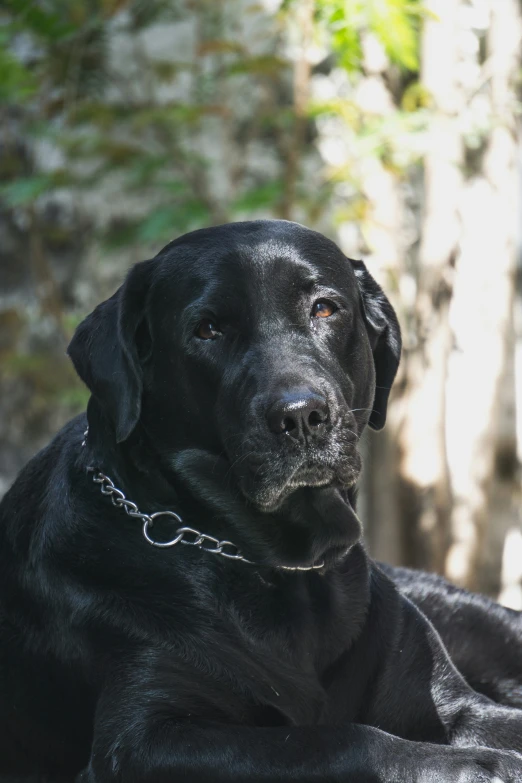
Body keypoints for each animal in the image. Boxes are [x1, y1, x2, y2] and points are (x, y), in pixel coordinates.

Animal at [1, 220, 520, 783]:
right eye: (207, 329)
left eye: (324, 308)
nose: (301, 415)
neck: (284, 569)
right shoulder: (144, 740)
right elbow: (339, 739)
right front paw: (484, 764)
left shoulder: (449, 700)